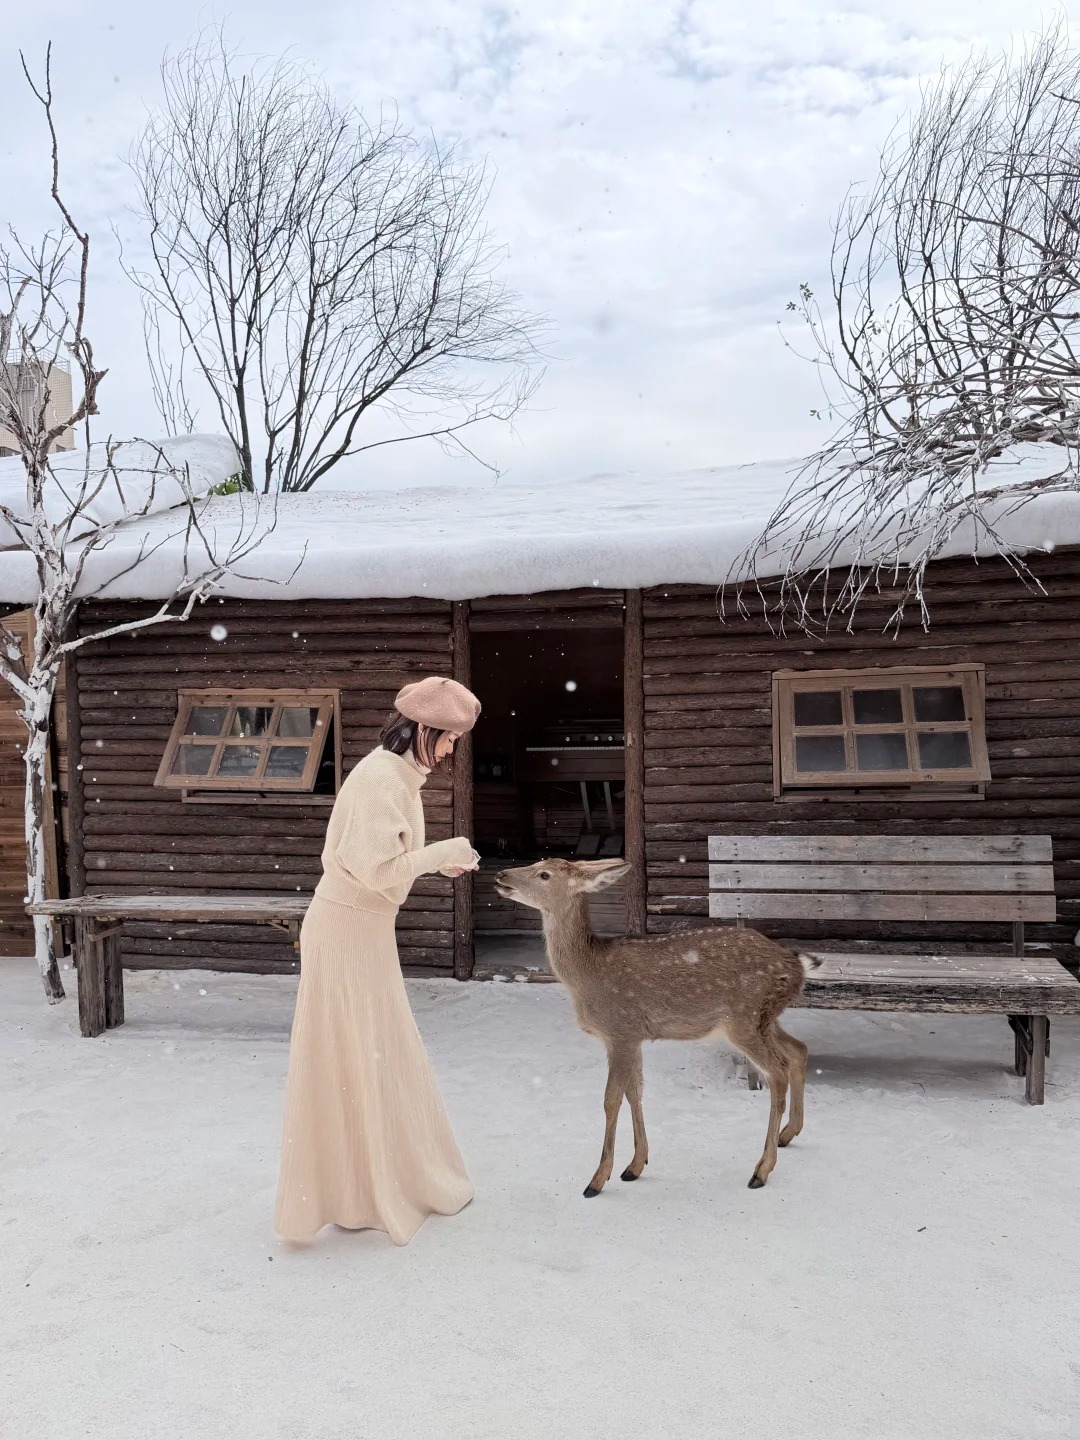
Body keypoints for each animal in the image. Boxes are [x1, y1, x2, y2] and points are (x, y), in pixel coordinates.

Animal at [495, 857, 820, 1196]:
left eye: (544, 874)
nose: (500, 874)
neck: (587, 976)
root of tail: (796, 967)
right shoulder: (632, 1037)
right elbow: (634, 1093)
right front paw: (635, 1165)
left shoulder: (621, 1029)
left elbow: (611, 1099)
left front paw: (597, 1179)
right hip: (764, 1019)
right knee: (798, 1050)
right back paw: (788, 1134)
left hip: (744, 1018)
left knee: (778, 1072)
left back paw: (761, 1170)